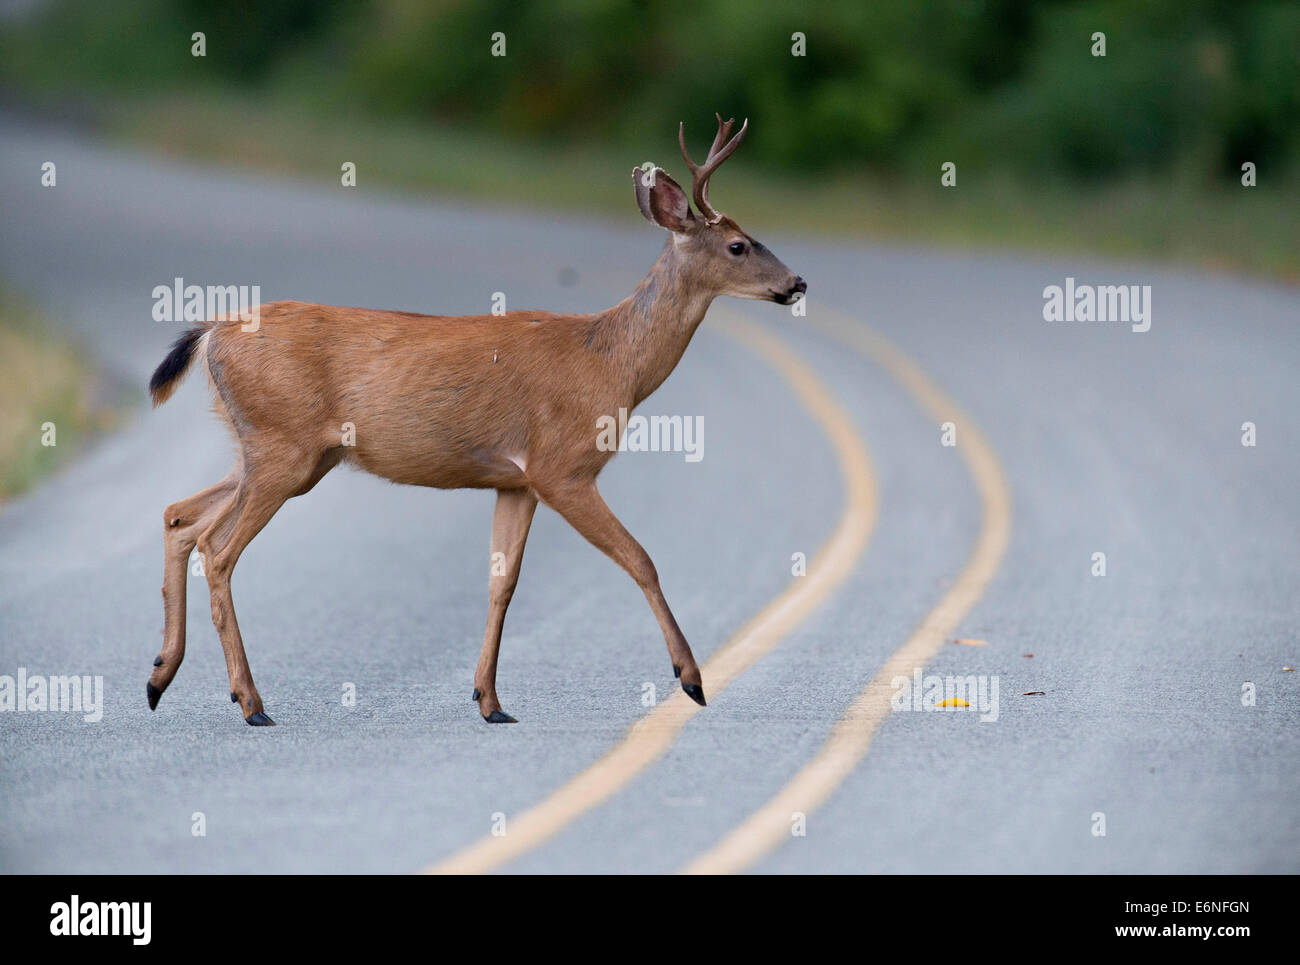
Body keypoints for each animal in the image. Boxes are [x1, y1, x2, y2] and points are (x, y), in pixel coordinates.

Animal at [147, 115, 806, 728]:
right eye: (739, 245)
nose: (797, 282)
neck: (612, 362)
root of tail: (213, 333)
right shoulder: (562, 467)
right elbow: (641, 558)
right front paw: (691, 679)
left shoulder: (515, 482)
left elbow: (503, 584)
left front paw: (489, 701)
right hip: (283, 446)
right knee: (217, 547)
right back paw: (250, 702)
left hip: (277, 451)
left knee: (180, 514)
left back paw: (159, 678)